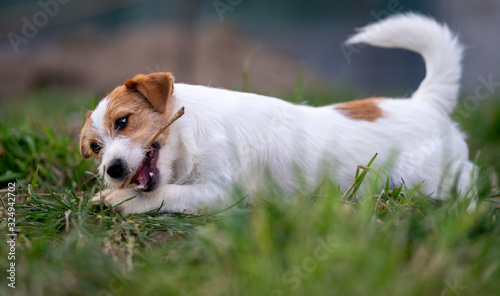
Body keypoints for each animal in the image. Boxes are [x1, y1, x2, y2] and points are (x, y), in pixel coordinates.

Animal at [80, 13, 474, 214]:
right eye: (96, 148)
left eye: (123, 122)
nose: (112, 170)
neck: (190, 135)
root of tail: (426, 102)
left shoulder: (225, 191)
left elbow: (166, 194)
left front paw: (123, 200)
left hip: (426, 176)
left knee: (467, 176)